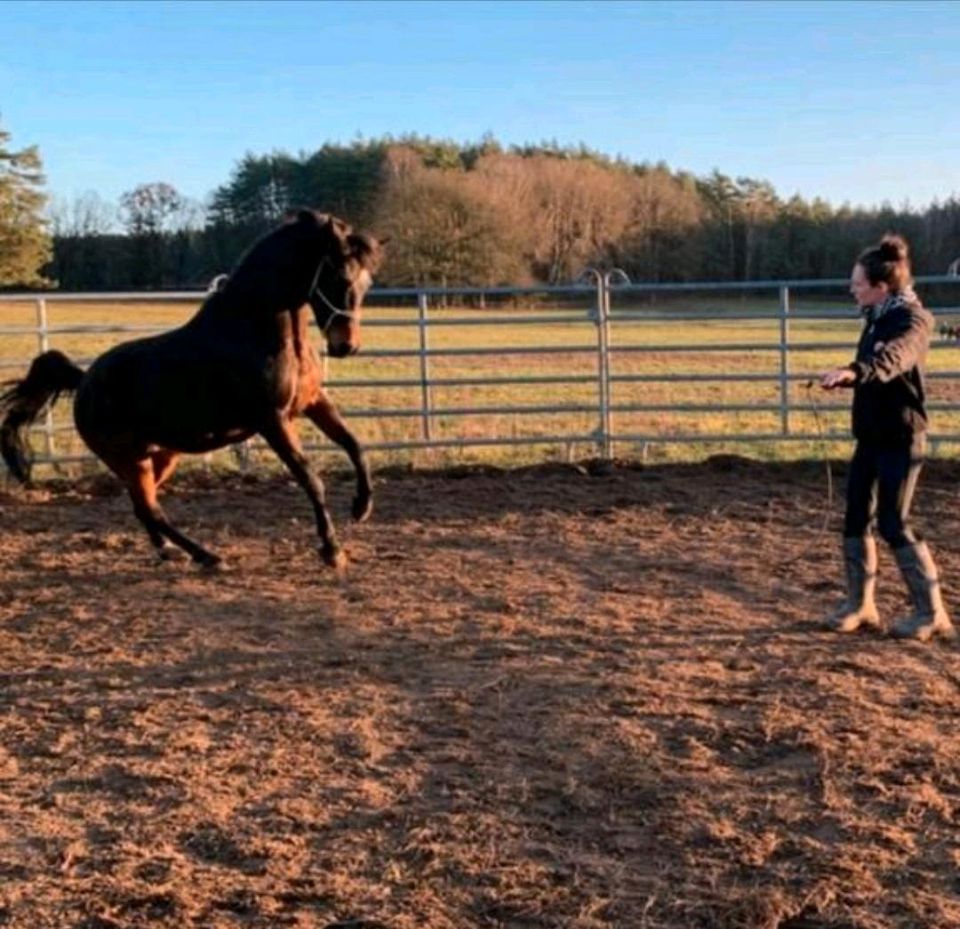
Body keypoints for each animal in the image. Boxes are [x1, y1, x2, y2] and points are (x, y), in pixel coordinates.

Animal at [2, 210, 390, 568]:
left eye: (367, 282)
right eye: (338, 276)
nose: (346, 346)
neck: (257, 331)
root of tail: (84, 381)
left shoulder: (312, 403)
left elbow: (353, 444)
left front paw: (362, 507)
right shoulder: (273, 421)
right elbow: (311, 478)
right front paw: (332, 550)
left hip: (160, 454)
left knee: (143, 506)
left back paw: (170, 551)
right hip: (127, 458)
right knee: (149, 508)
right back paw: (208, 557)